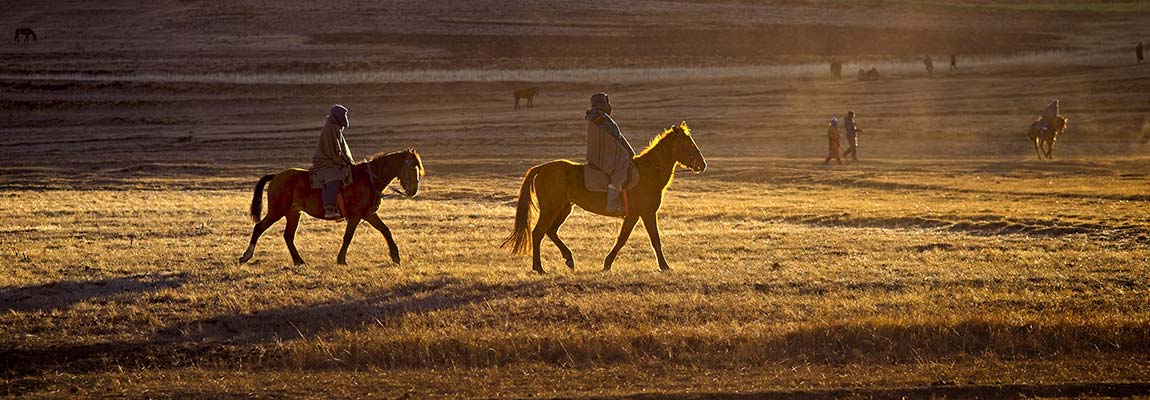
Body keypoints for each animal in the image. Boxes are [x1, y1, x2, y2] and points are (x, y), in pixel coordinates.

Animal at [240, 148, 425, 264]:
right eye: (412, 166)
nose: (413, 190)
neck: (368, 179)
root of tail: (277, 176)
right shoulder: (356, 215)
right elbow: (348, 236)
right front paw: (341, 260)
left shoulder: (369, 214)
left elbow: (385, 230)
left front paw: (395, 257)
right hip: (277, 211)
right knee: (259, 227)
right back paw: (246, 256)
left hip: (293, 213)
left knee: (288, 236)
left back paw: (299, 261)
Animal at [501, 120, 703, 273]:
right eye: (688, 143)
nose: (702, 164)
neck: (648, 173)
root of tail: (543, 167)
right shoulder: (646, 213)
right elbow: (654, 240)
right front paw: (664, 266)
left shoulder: (634, 215)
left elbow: (622, 239)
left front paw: (607, 264)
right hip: (550, 209)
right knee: (538, 233)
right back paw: (539, 268)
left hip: (564, 208)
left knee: (550, 231)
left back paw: (568, 259)